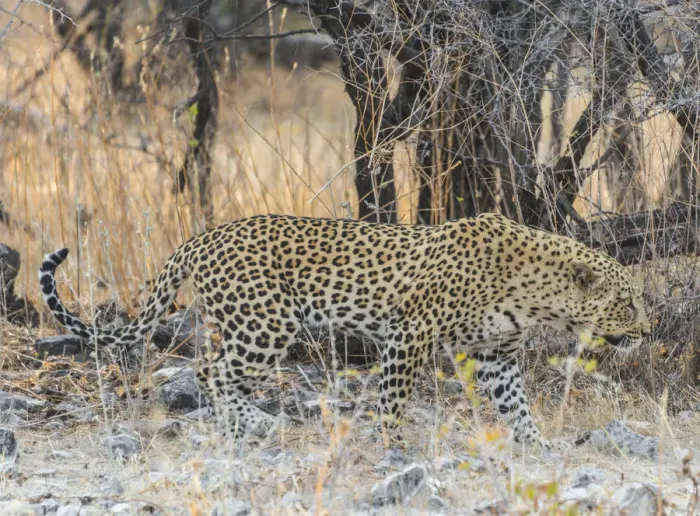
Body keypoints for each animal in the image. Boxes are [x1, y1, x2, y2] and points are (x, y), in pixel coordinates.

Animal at [38, 212, 650, 449]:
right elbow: (394, 399)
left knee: (215, 372)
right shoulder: (410, 334)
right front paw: (393, 446)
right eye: (626, 301)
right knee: (211, 372)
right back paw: (256, 423)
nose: (647, 331)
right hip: (267, 322)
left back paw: (248, 424)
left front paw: (537, 444)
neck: (535, 291)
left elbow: (516, 405)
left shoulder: (497, 355)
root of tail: (204, 236)